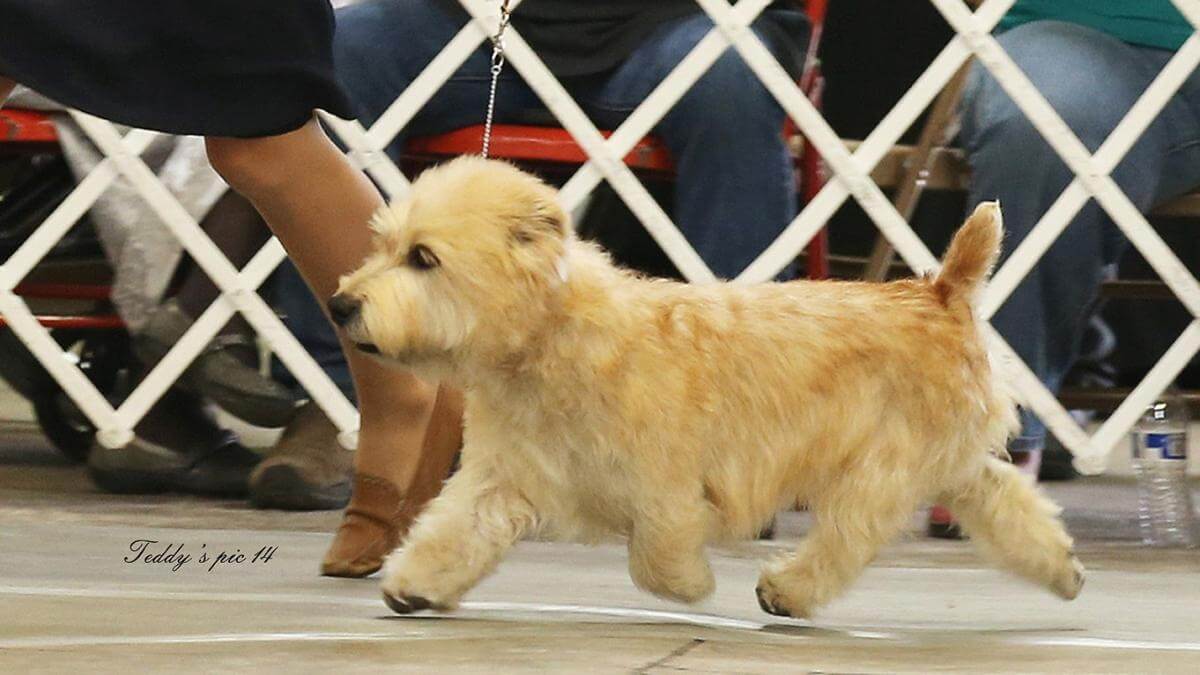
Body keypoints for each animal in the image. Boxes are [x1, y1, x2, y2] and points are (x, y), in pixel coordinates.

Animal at [331, 154, 1089, 619]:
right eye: (382, 244)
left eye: (424, 257)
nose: (341, 306)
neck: (550, 341)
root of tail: (939, 293)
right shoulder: (507, 474)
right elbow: (455, 530)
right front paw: (413, 584)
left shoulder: (665, 484)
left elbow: (656, 555)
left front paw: (692, 584)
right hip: (950, 461)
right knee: (1006, 502)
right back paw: (1064, 569)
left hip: (880, 470)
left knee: (849, 540)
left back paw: (787, 589)